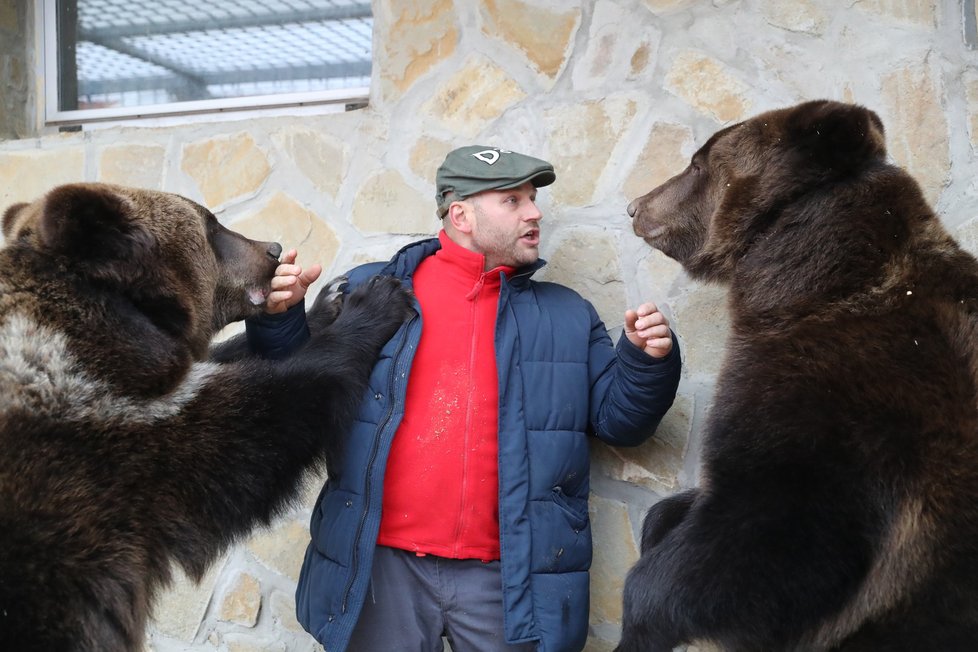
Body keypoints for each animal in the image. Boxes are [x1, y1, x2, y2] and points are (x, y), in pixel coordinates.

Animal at [0, 182, 412, 652]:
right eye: (212, 226)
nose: (273, 249)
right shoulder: (113, 418)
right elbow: (260, 423)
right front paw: (375, 299)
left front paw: (331, 298)